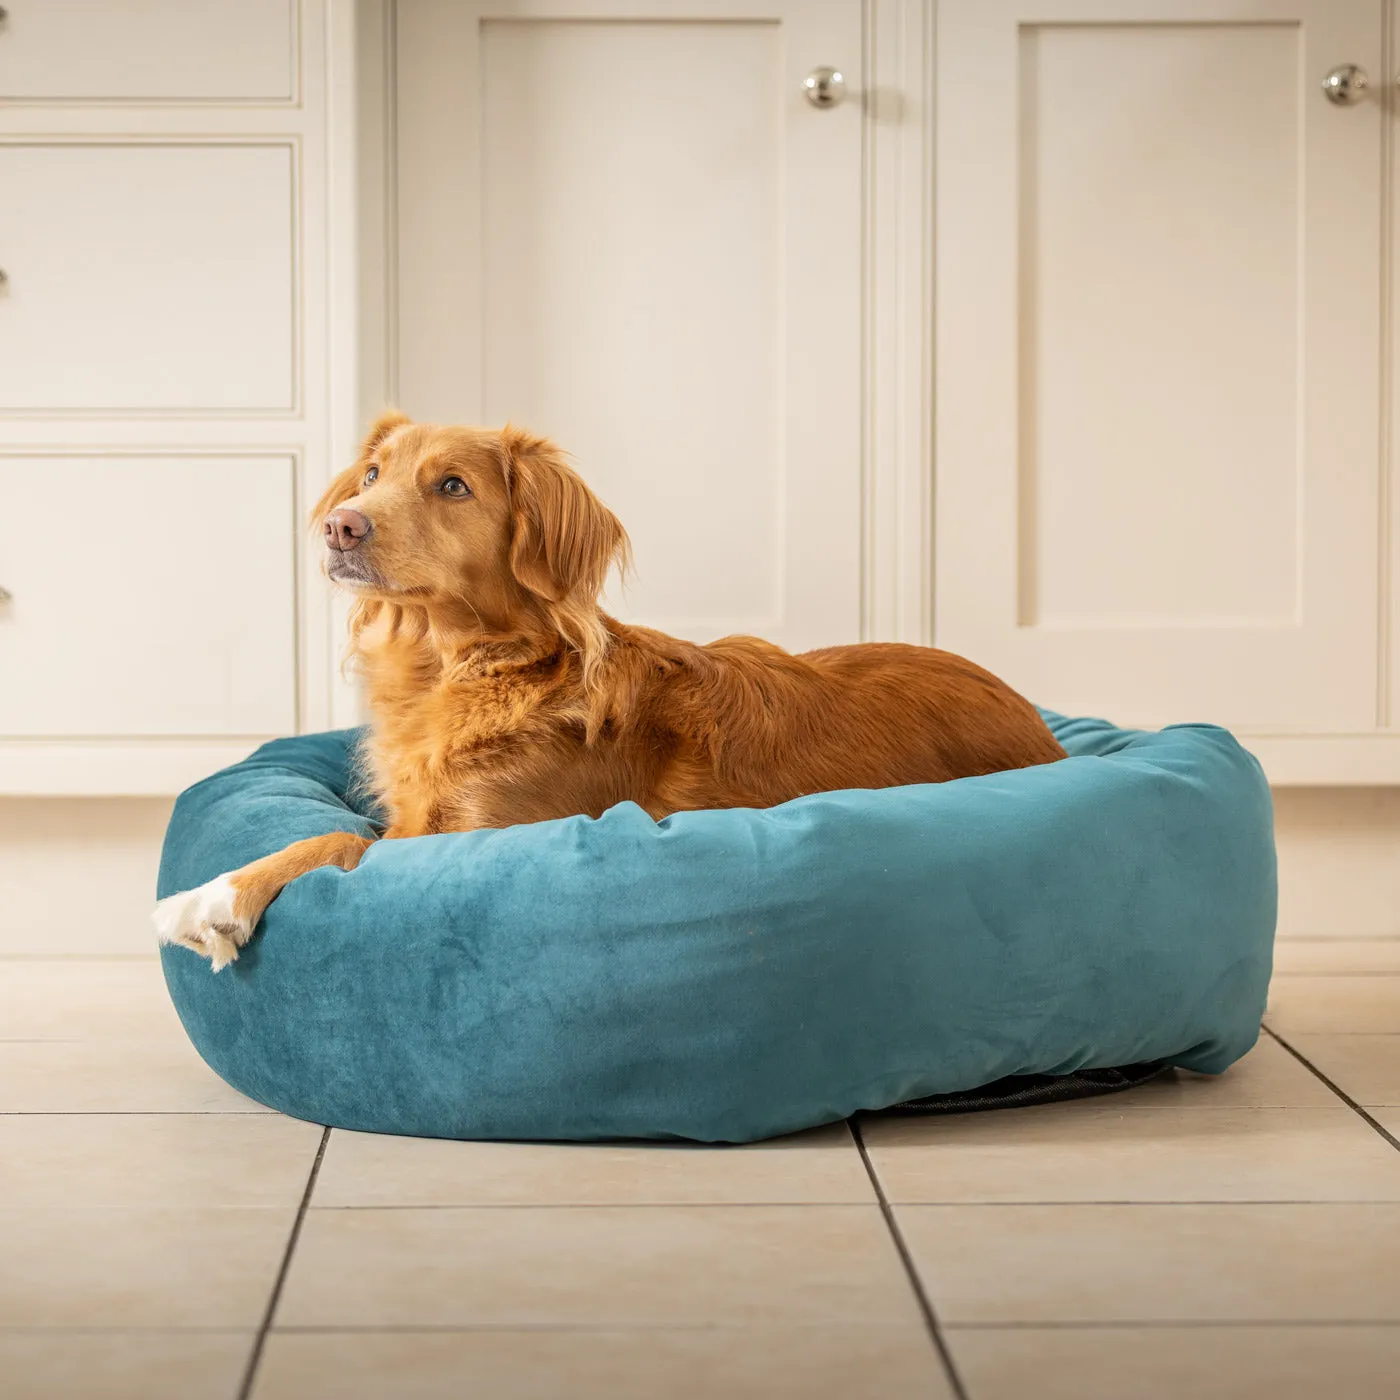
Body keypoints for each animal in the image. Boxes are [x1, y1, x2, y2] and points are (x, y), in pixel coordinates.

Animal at [153, 408, 1064, 968]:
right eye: (372, 474)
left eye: (453, 485)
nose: (342, 527)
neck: (473, 667)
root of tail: (1042, 728)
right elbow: (342, 831)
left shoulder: (478, 833)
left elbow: (336, 839)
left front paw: (211, 898)